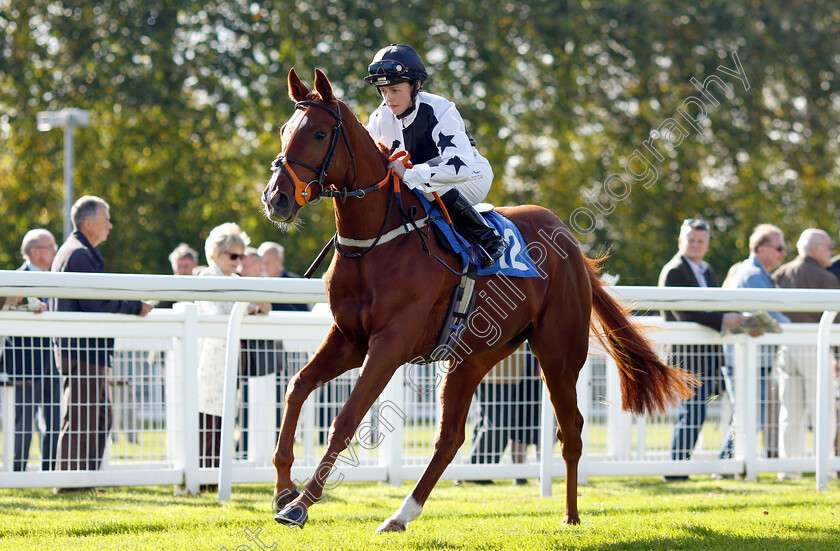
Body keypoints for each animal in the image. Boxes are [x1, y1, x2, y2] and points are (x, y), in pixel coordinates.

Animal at [260, 67, 688, 532]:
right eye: (284, 130)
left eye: (319, 133)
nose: (276, 198)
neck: (375, 242)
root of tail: (571, 243)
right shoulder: (348, 339)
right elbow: (297, 388)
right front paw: (283, 488)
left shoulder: (389, 344)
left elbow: (346, 418)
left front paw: (301, 504)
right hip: (474, 355)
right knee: (450, 437)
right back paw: (401, 514)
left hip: (558, 351)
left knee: (570, 429)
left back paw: (571, 516)